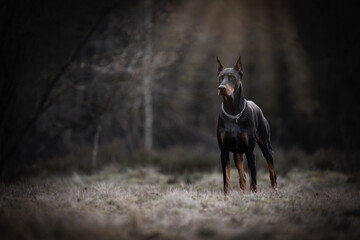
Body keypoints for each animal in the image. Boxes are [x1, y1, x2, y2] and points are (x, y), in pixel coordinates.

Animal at [215, 55, 278, 193]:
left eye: (232, 77)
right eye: (220, 77)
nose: (221, 88)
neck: (233, 112)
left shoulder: (250, 151)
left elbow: (253, 177)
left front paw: (254, 193)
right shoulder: (224, 151)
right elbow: (226, 177)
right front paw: (227, 194)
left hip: (266, 145)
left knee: (272, 170)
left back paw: (275, 188)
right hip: (237, 152)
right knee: (242, 175)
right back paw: (242, 192)